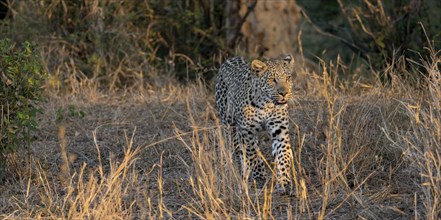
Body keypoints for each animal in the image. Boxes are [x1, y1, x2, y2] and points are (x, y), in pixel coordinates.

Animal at [215, 55, 294, 194]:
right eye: (272, 80)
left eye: (288, 78)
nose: (284, 93)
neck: (266, 104)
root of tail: (230, 58)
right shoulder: (247, 131)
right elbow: (253, 155)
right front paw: (261, 177)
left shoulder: (280, 131)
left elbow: (283, 156)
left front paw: (285, 182)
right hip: (229, 123)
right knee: (237, 148)